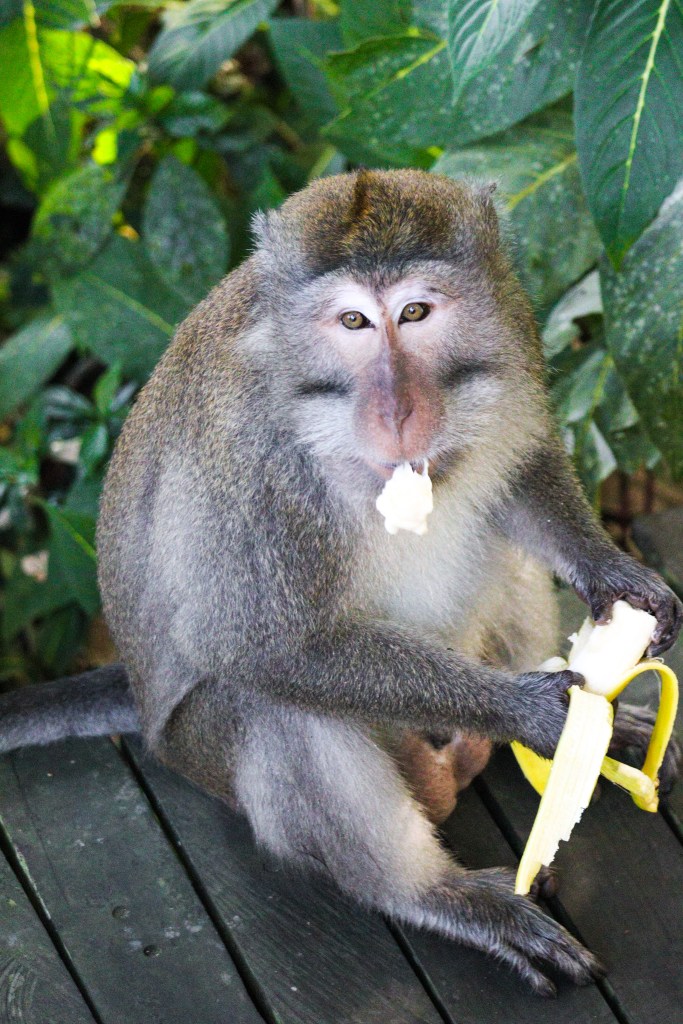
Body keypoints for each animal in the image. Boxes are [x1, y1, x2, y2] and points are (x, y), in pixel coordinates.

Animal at [1, 169, 681, 995]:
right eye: (353, 321)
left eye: (415, 312)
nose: (397, 409)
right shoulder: (254, 461)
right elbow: (256, 646)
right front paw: (531, 713)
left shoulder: (515, 328)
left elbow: (520, 474)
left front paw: (614, 575)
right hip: (208, 752)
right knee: (272, 706)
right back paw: (439, 893)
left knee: (491, 527)